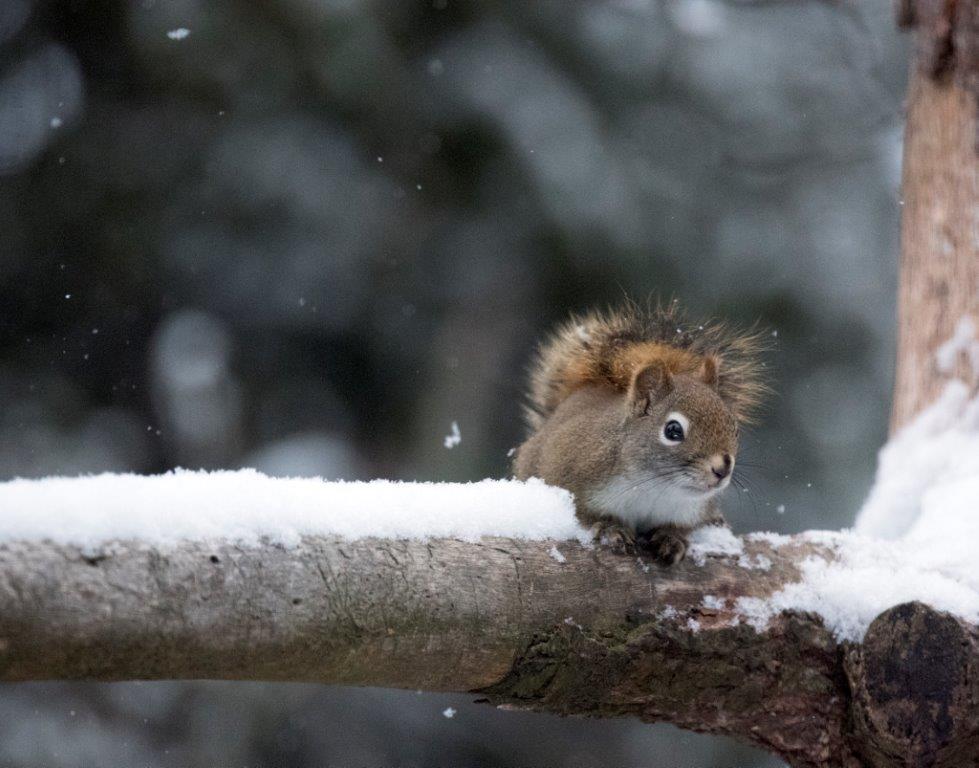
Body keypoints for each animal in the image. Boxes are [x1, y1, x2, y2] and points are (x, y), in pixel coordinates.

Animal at [512, 300, 768, 565]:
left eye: (734, 427)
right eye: (673, 430)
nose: (722, 469)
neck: (655, 485)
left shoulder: (692, 509)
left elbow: (679, 528)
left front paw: (671, 538)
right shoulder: (570, 473)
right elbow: (586, 515)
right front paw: (610, 528)